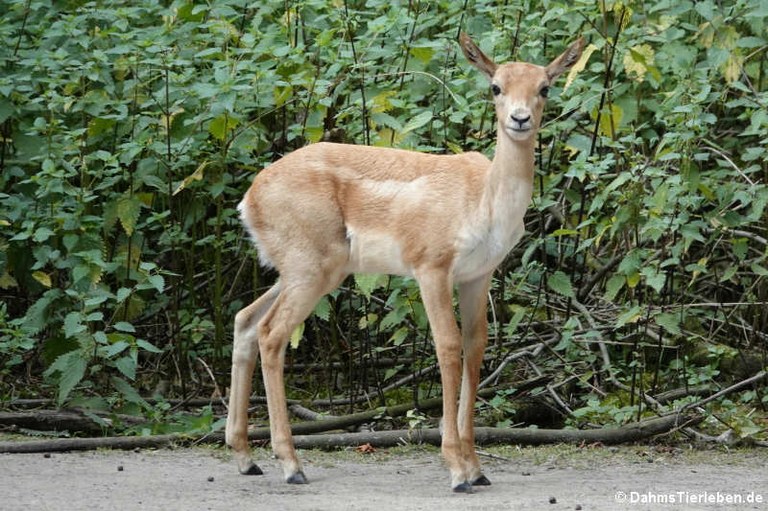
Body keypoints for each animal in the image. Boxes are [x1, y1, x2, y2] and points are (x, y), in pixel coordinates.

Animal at [225, 31, 584, 492]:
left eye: (544, 87)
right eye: (496, 86)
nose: (519, 119)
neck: (482, 198)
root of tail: (250, 197)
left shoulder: (477, 276)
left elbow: (475, 347)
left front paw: (477, 468)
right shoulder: (431, 268)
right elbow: (447, 346)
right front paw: (456, 470)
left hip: (305, 272)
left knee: (246, 321)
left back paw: (246, 459)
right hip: (310, 270)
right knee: (272, 333)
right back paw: (291, 466)